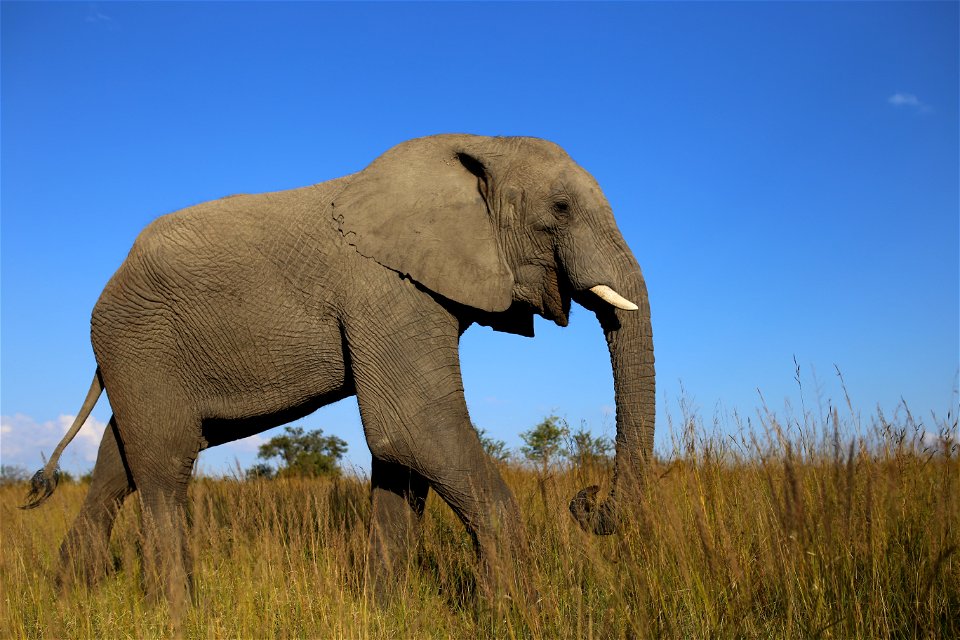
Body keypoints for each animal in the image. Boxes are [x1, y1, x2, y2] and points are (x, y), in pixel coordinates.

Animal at [24, 135, 652, 608]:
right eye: (561, 210)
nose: (587, 498)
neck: (477, 147)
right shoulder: (384, 289)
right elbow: (414, 430)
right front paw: (515, 614)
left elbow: (404, 457)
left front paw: (383, 611)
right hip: (139, 343)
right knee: (164, 465)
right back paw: (179, 612)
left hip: (139, 355)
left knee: (118, 461)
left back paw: (69, 597)